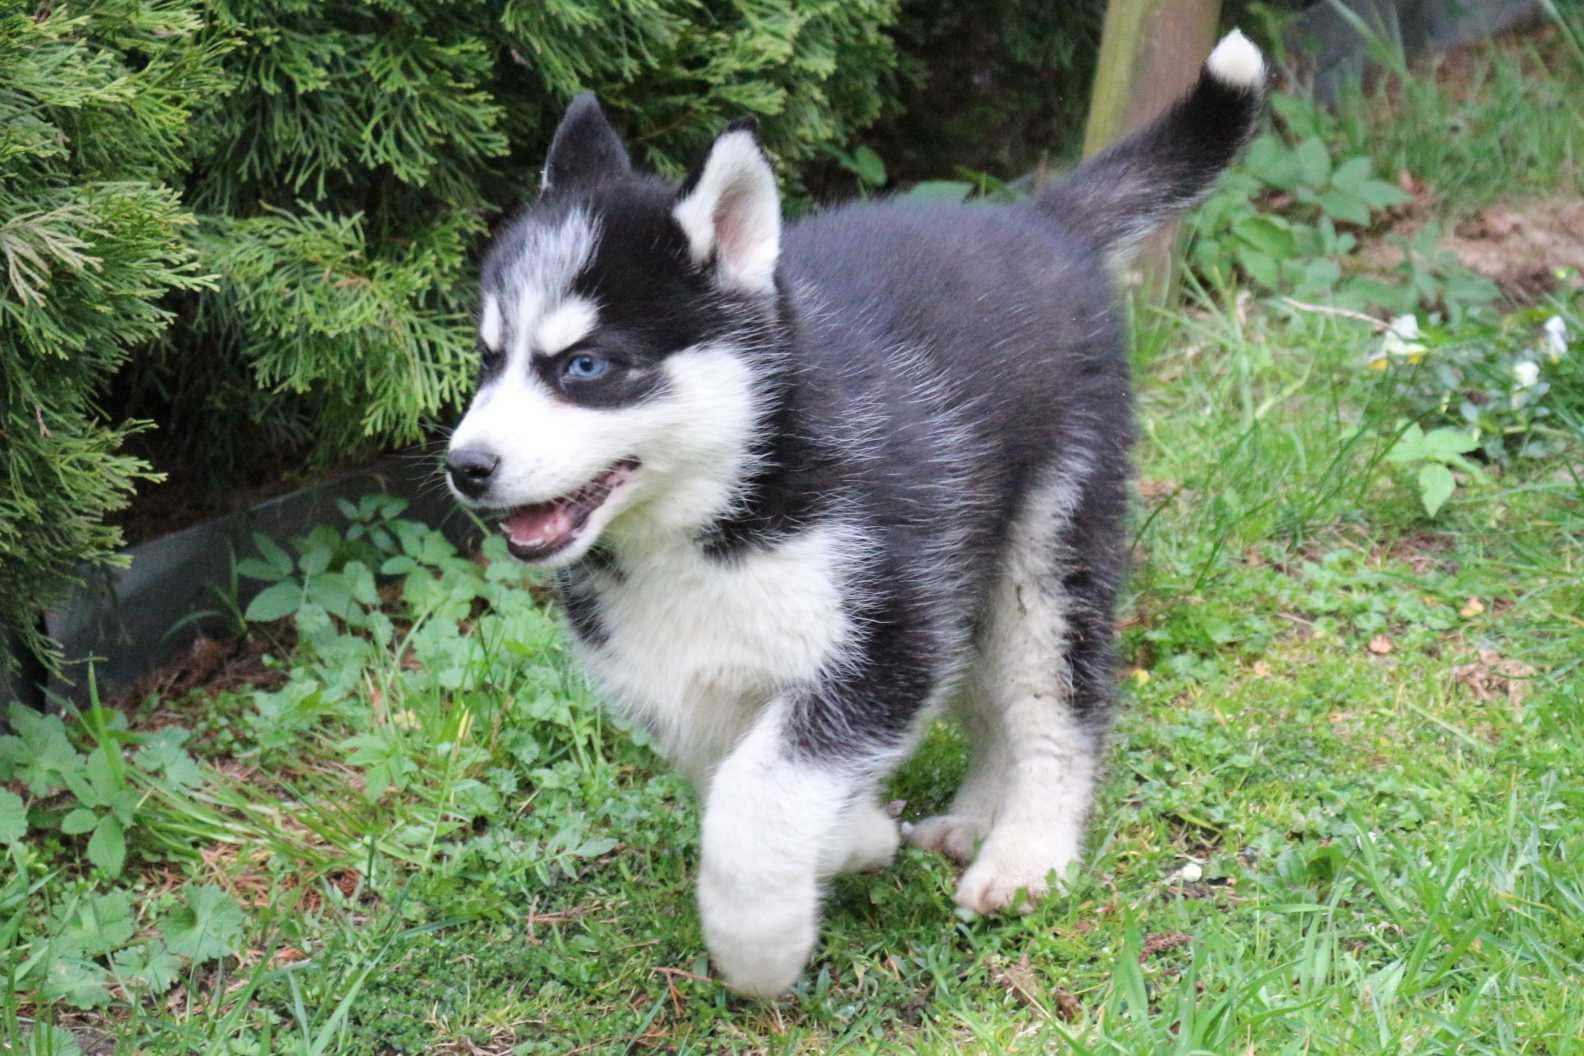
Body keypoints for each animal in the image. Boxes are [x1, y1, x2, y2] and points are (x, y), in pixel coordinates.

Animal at [453, 26, 1267, 1000]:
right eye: (487, 359)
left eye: (584, 366)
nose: (465, 468)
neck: (722, 513)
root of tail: (1037, 219)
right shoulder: (694, 675)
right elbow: (744, 773)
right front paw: (859, 837)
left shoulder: (887, 631)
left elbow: (757, 794)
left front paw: (759, 945)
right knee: (990, 695)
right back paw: (971, 817)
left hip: (1049, 542)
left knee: (1055, 700)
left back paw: (1027, 852)